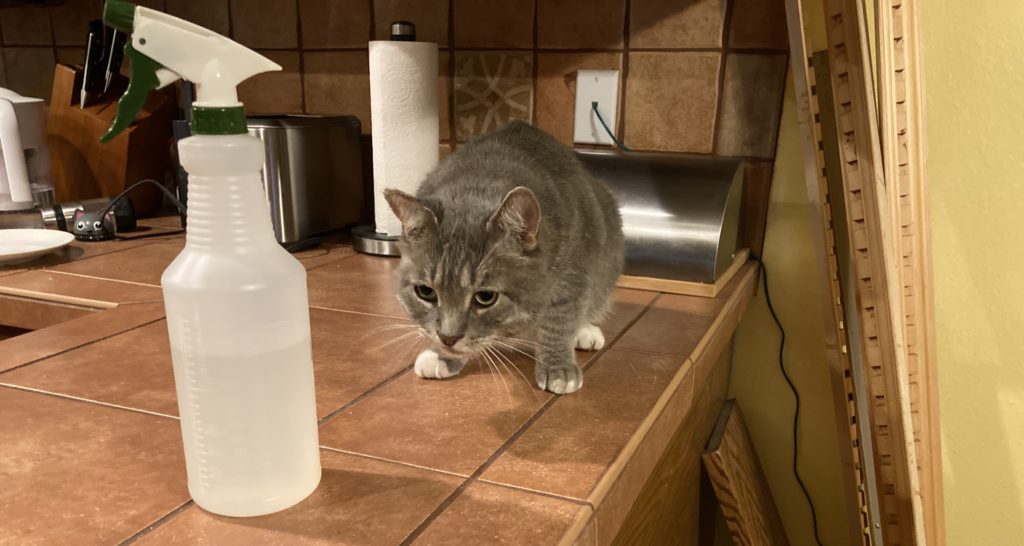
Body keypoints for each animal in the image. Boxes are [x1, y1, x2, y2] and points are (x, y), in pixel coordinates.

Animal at [385, 120, 622, 391]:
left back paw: (586, 332)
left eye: (486, 297)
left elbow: (560, 320)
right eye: (425, 292)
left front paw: (557, 368)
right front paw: (441, 357)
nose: (447, 338)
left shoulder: (574, 274)